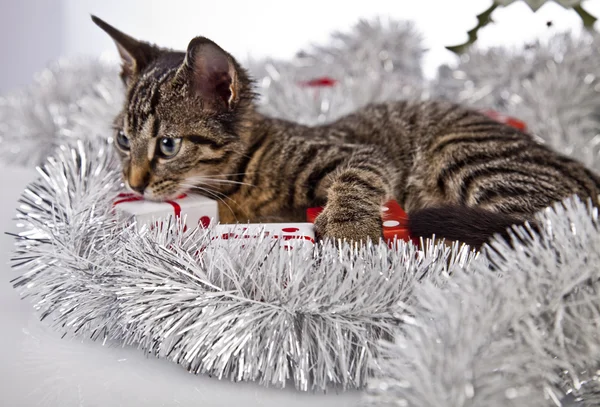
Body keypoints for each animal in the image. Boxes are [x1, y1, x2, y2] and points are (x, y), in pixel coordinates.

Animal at [92, 15, 600, 249]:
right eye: (122, 140)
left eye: (168, 145)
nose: (134, 182)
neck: (241, 174)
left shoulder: (359, 153)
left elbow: (357, 175)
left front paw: (349, 227)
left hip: (464, 153)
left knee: (540, 230)